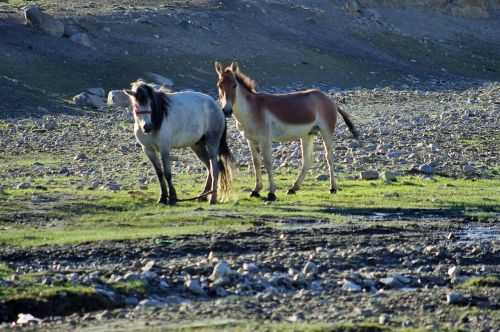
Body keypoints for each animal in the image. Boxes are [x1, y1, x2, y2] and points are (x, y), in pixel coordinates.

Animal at [213, 62, 358, 202]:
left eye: (234, 85)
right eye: (219, 85)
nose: (226, 111)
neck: (252, 109)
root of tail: (329, 100)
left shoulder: (265, 139)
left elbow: (268, 162)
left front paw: (271, 193)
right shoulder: (250, 140)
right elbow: (256, 163)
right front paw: (256, 190)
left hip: (326, 132)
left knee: (329, 157)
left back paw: (333, 188)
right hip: (308, 135)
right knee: (307, 161)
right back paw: (293, 188)